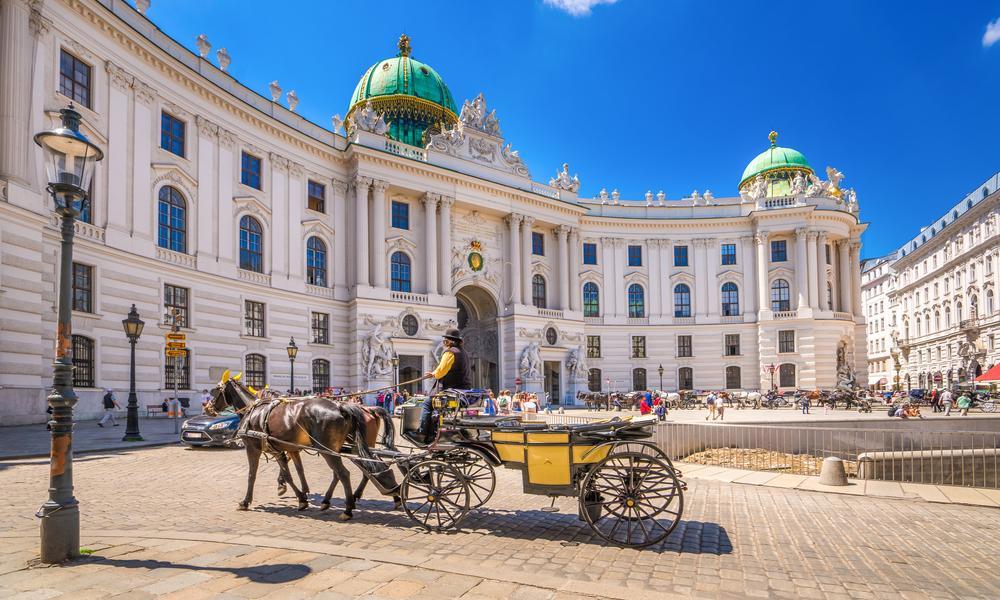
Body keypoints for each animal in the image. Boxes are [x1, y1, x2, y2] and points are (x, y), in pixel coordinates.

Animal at [206, 378, 398, 516]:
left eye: (215, 391)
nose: (208, 408)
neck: (255, 411)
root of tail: (342, 407)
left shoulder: (253, 448)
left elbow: (252, 475)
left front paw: (245, 501)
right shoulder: (284, 449)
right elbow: (294, 473)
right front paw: (302, 496)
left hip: (331, 449)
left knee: (345, 473)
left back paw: (348, 508)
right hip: (348, 448)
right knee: (365, 468)